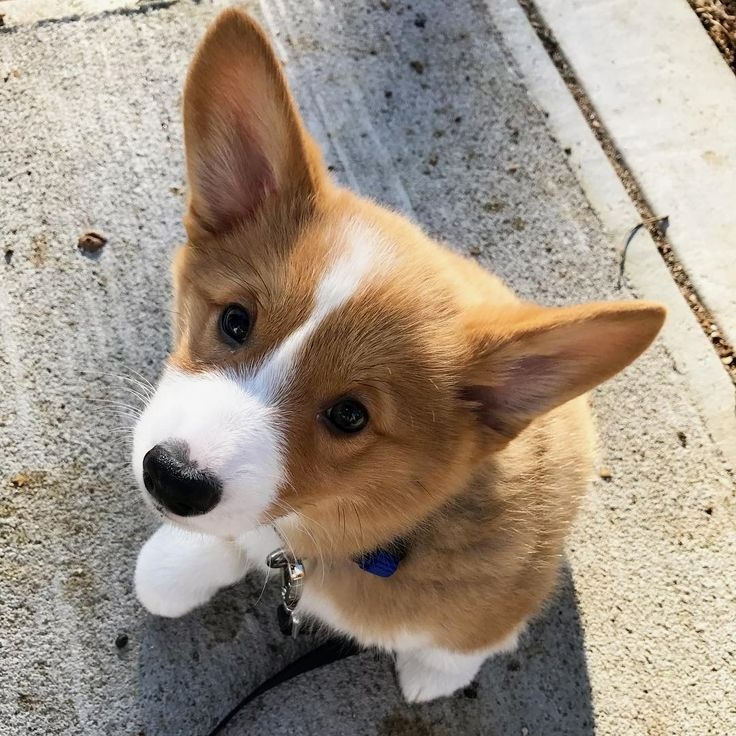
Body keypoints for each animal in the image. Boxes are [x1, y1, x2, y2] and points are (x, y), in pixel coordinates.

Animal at [132, 8, 668, 704]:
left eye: (350, 416)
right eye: (234, 320)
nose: (172, 478)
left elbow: (462, 640)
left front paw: (433, 674)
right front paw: (178, 565)